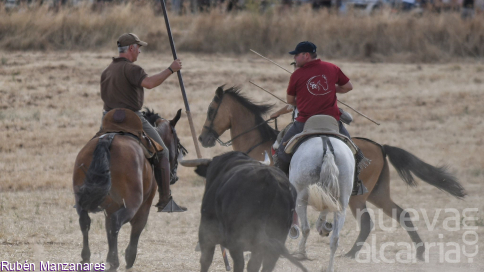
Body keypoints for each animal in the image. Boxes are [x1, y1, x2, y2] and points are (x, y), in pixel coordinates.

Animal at [72, 108, 183, 270]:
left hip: (82, 201)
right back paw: (114, 262)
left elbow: (109, 231)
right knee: (116, 222)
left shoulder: (110, 208)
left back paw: (86, 258)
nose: (174, 177)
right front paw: (129, 259)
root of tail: (108, 139)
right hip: (132, 205)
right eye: (177, 143)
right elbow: (136, 230)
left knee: (85, 221)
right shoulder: (143, 208)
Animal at [290, 136, 354, 272]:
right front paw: (322, 226)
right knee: (335, 238)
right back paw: (330, 267)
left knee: (306, 228)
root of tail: (328, 149)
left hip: (300, 198)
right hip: (342, 203)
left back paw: (301, 253)